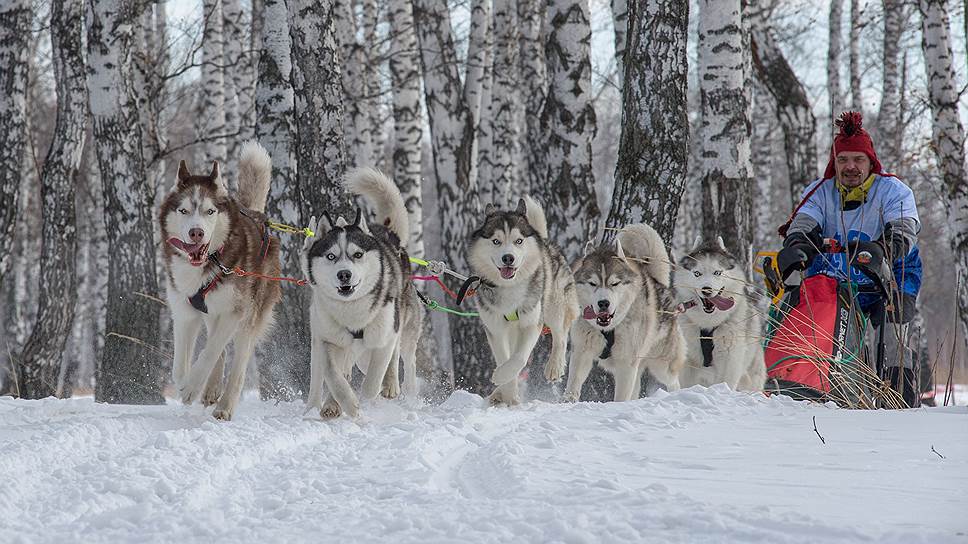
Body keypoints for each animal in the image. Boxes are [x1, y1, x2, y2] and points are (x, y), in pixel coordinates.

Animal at [162, 141, 280, 420]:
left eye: (210, 211)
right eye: (183, 210)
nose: (196, 232)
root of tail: (256, 215)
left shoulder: (233, 313)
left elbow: (210, 351)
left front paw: (192, 386)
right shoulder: (184, 312)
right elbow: (180, 367)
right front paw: (187, 384)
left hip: (249, 317)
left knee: (238, 361)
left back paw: (224, 406)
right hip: (210, 312)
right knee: (221, 349)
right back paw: (212, 389)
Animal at [302, 168, 424, 418]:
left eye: (357, 254)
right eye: (331, 256)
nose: (344, 274)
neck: (352, 311)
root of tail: (386, 232)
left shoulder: (384, 335)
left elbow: (372, 381)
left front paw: (369, 396)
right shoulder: (328, 341)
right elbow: (334, 376)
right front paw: (345, 403)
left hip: (401, 329)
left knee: (401, 358)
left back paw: (395, 387)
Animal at [466, 198, 580, 406]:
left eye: (518, 241)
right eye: (496, 241)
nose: (508, 258)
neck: (509, 287)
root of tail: (545, 241)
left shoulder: (532, 323)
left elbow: (519, 358)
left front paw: (501, 379)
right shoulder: (495, 329)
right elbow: (504, 358)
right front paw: (509, 394)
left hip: (555, 306)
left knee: (560, 335)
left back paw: (554, 367)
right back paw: (498, 393)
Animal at [564, 223, 684, 402]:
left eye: (615, 283)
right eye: (593, 283)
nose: (603, 303)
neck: (608, 329)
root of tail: (658, 282)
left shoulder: (627, 363)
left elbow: (621, 397)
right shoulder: (581, 352)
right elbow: (573, 386)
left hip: (661, 364)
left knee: (674, 381)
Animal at [676, 237, 768, 392]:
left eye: (717, 273)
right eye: (697, 273)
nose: (706, 290)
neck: (708, 324)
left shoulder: (729, 359)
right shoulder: (688, 361)